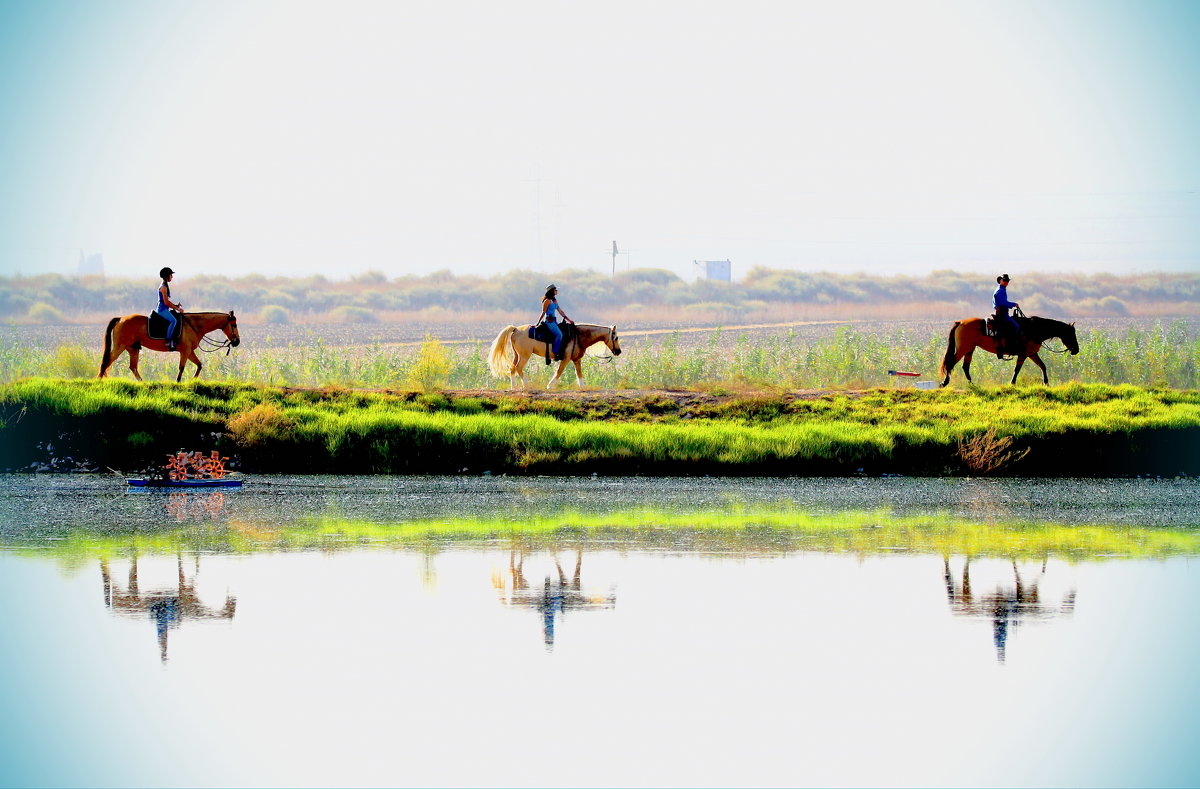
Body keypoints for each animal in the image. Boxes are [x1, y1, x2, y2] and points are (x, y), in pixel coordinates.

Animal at [99, 306, 240, 381]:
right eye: (234, 325)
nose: (237, 341)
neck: (194, 325)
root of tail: (120, 319)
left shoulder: (189, 351)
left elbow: (199, 365)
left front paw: (193, 380)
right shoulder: (185, 351)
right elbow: (181, 367)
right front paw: (178, 382)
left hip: (133, 348)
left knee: (133, 367)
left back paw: (142, 382)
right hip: (120, 346)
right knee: (106, 361)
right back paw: (100, 378)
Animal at [487, 321, 624, 388]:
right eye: (616, 337)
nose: (618, 351)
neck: (578, 335)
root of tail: (515, 329)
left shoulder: (576, 360)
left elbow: (579, 373)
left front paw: (583, 387)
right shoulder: (566, 359)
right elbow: (559, 372)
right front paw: (550, 386)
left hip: (517, 355)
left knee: (512, 368)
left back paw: (513, 386)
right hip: (525, 356)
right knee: (518, 368)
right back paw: (526, 385)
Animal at [940, 314, 1084, 386]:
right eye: (1071, 334)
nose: (1076, 350)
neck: (1034, 329)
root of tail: (960, 322)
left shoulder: (1032, 353)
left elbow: (1042, 366)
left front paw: (1046, 383)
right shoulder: (1024, 354)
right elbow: (1017, 369)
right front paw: (1012, 383)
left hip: (970, 349)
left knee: (965, 366)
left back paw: (972, 384)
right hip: (963, 349)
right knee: (951, 363)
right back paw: (944, 382)